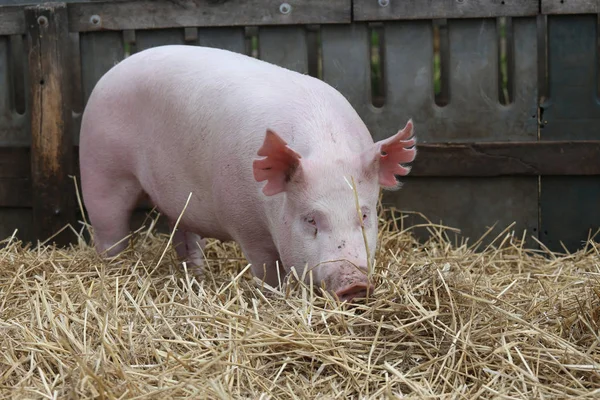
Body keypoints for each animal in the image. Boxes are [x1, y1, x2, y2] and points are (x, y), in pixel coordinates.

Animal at [79, 45, 418, 302]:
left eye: (364, 215)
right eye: (310, 219)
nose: (355, 283)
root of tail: (111, 72)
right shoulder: (246, 226)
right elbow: (268, 271)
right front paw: (275, 296)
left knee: (183, 234)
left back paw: (198, 276)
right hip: (100, 168)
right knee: (110, 229)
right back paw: (114, 269)